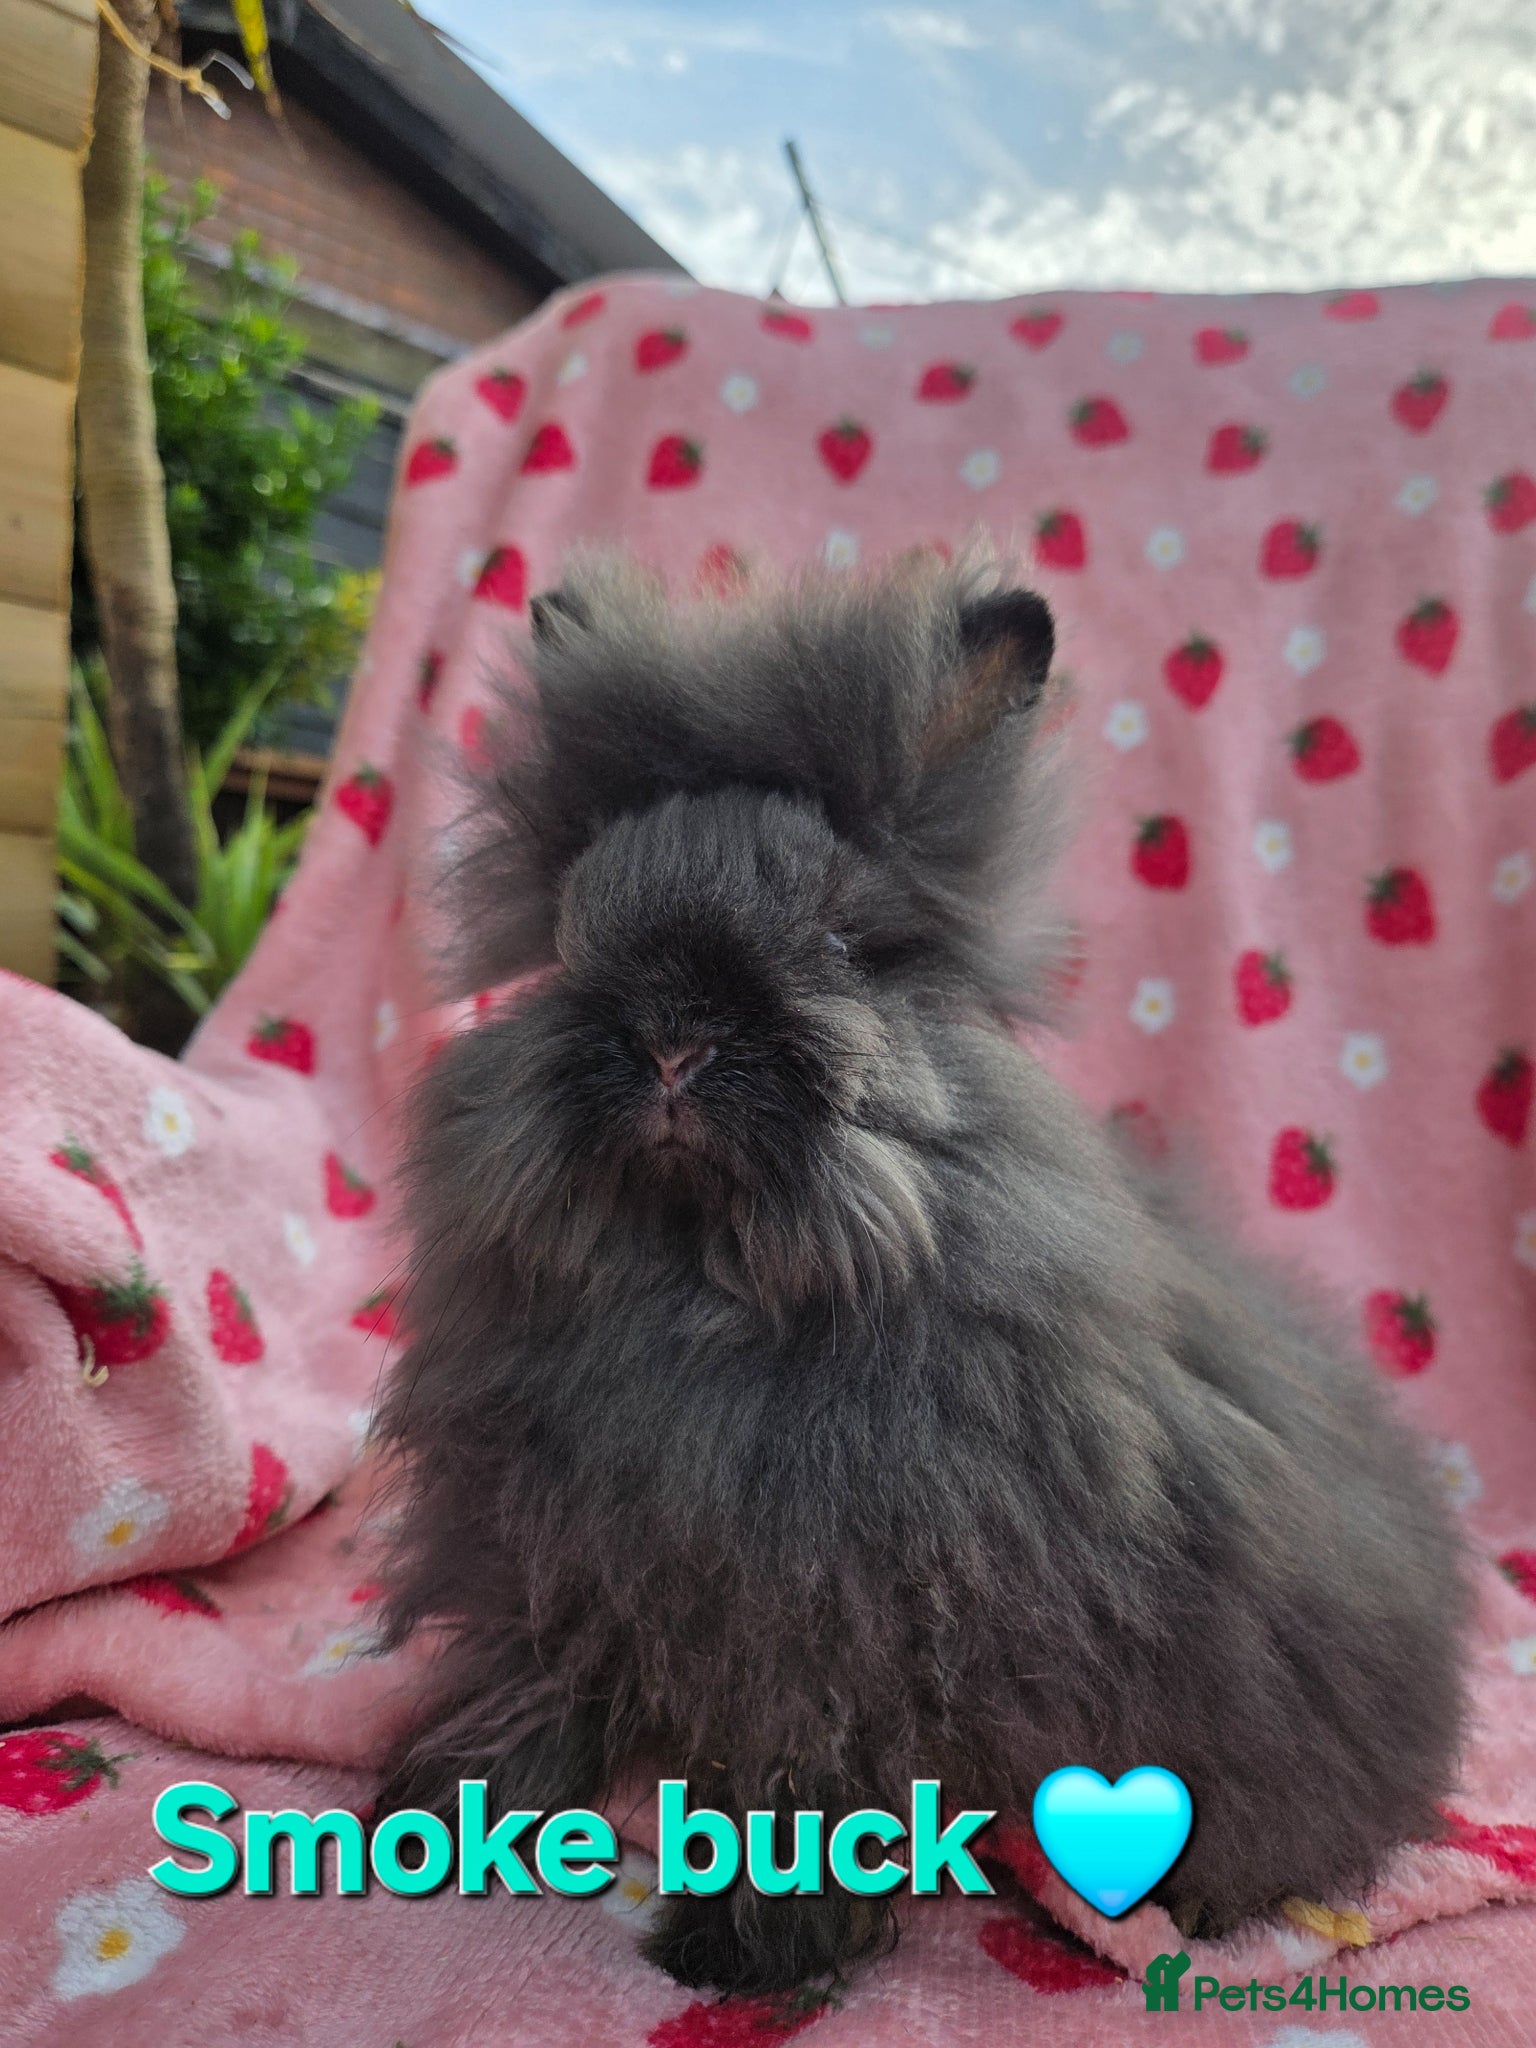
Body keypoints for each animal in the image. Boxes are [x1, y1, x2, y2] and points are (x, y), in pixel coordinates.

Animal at [374, 548, 1468, 1996]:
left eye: (851, 943)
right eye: (577, 924)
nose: (669, 1038)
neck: (706, 1286)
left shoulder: (846, 1625)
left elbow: (804, 1771)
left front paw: (743, 1947)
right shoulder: (548, 1556)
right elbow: (532, 1675)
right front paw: (436, 1817)